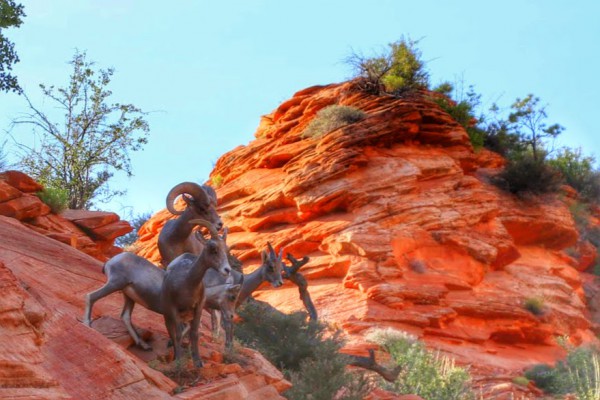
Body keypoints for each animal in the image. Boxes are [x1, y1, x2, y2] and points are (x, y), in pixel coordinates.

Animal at [162, 220, 232, 368]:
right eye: (213, 249)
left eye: (226, 250)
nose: (227, 270)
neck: (186, 282)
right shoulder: (173, 308)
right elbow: (177, 333)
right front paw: (179, 360)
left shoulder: (198, 307)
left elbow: (194, 333)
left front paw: (197, 361)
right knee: (172, 330)